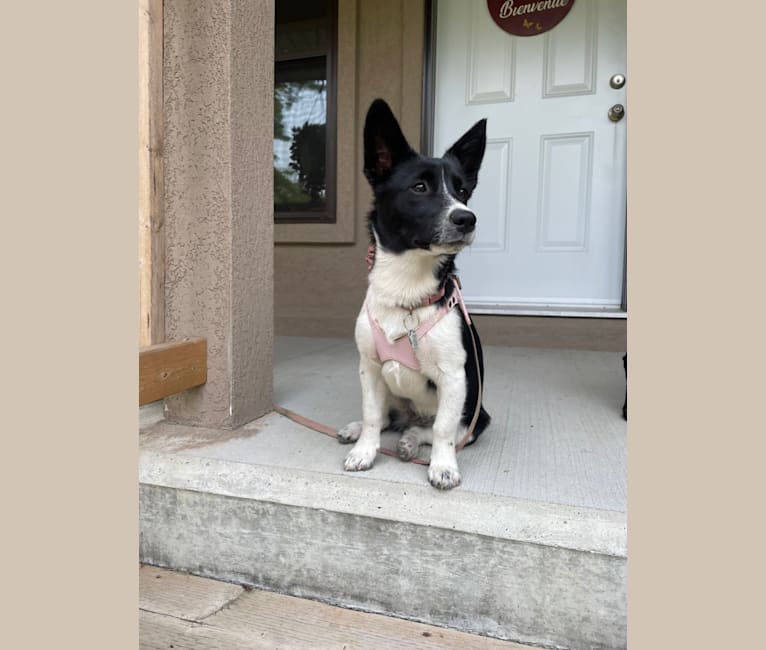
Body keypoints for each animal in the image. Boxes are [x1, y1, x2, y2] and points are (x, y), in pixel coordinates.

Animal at [340, 98, 492, 488]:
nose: (467, 218)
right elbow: (372, 415)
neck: (406, 290)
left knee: (432, 428)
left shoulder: (455, 378)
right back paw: (358, 428)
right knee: (387, 417)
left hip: (477, 413)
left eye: (463, 191)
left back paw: (411, 440)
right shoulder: (370, 367)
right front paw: (365, 450)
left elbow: (443, 430)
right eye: (419, 188)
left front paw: (443, 466)